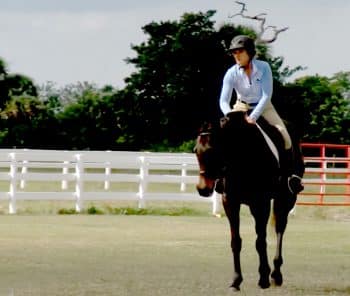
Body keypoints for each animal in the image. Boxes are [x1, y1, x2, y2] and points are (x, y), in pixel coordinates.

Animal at [194, 112, 304, 290]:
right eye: (195, 151)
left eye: (214, 150)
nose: (203, 189)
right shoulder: (230, 202)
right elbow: (236, 241)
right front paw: (236, 280)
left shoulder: (261, 203)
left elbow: (260, 241)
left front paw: (264, 278)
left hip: (286, 197)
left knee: (280, 229)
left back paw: (276, 274)